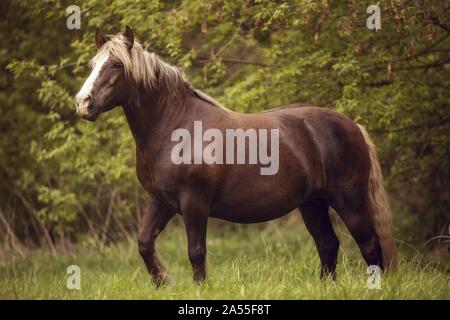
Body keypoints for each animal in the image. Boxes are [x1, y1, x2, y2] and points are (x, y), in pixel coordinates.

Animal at [75, 26, 396, 284]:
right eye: (94, 64)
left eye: (117, 64)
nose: (82, 103)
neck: (175, 127)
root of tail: (352, 125)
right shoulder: (161, 201)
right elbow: (144, 244)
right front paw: (162, 281)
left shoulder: (194, 203)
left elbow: (196, 252)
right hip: (312, 204)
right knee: (328, 245)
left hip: (349, 200)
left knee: (369, 245)